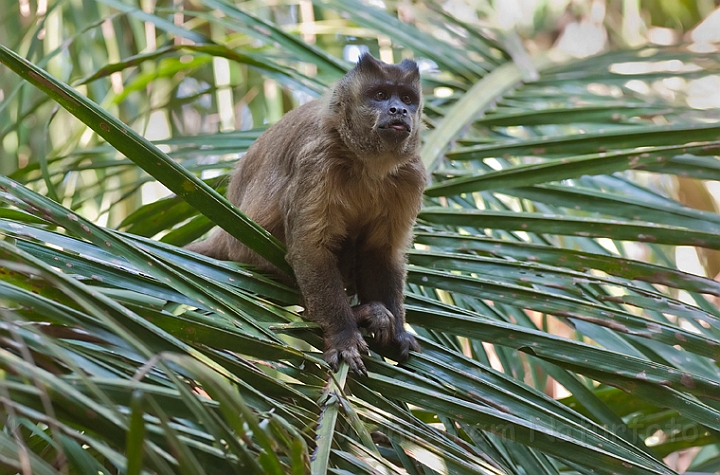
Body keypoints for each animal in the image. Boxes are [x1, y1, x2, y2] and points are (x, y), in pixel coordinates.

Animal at [186, 54, 424, 376]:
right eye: (380, 95)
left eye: (407, 98)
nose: (398, 109)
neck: (365, 164)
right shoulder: (318, 160)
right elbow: (310, 251)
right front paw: (343, 335)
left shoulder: (411, 174)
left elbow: (380, 252)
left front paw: (399, 331)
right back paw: (360, 313)